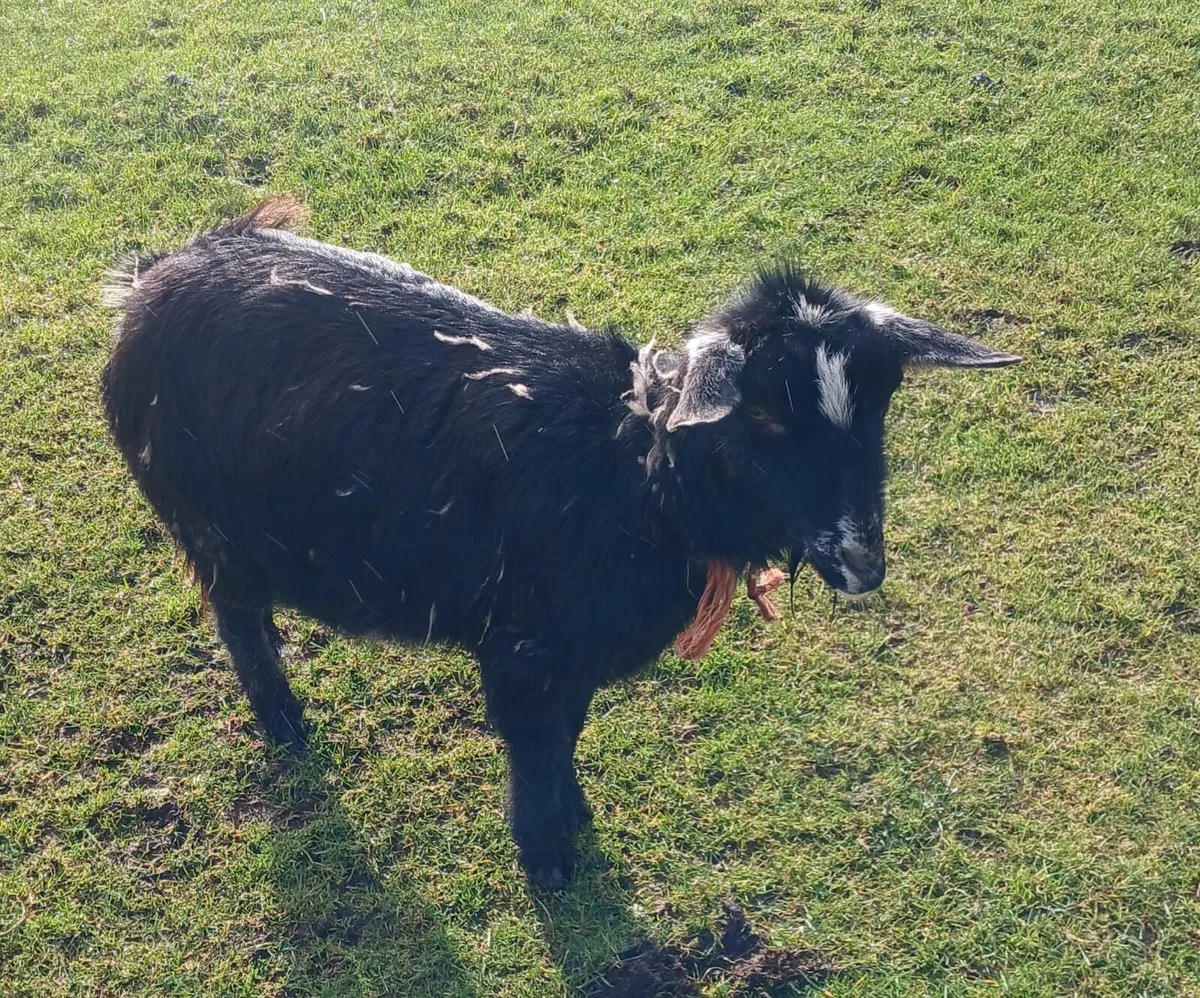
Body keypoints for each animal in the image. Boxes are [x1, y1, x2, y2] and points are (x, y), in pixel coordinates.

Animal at [101, 198, 1020, 888]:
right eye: (762, 416)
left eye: (879, 406)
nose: (864, 563)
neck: (637, 473)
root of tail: (153, 275)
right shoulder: (525, 651)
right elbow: (535, 748)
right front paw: (547, 858)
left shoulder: (569, 657)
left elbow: (569, 737)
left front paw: (573, 816)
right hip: (210, 525)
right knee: (238, 621)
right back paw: (284, 721)